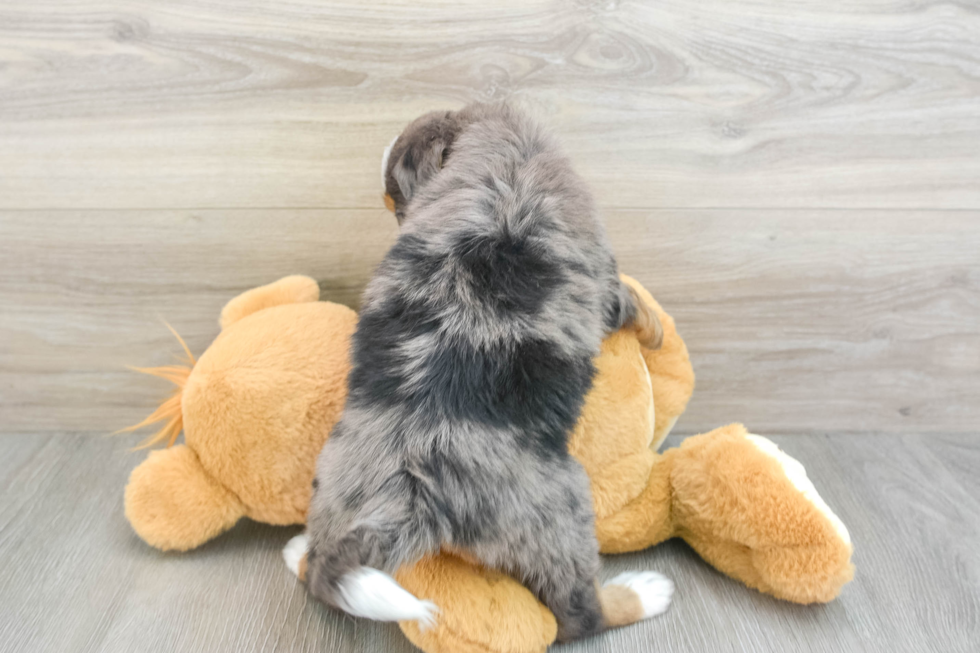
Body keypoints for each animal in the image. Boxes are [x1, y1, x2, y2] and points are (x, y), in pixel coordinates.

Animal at [280, 104, 668, 640]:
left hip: (336, 486)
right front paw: (657, 332)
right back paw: (644, 592)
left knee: (323, 564)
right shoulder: (603, 278)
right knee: (580, 615)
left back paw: (298, 549)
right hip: (561, 515)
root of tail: (415, 494)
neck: (508, 156)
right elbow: (631, 297)